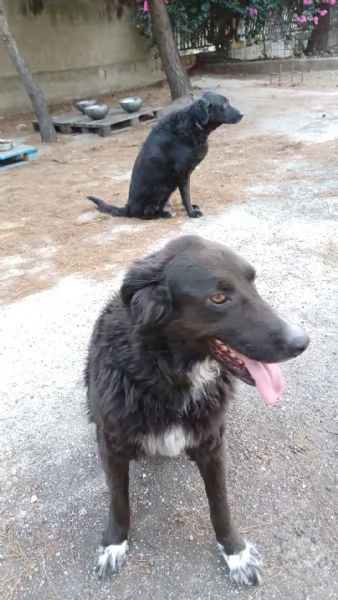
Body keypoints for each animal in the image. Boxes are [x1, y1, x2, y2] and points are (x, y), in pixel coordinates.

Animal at [84, 234, 308, 584]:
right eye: (218, 298)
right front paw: (113, 544)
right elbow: (118, 500)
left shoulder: (211, 443)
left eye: (253, 283)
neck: (164, 374)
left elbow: (220, 503)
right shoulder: (112, 443)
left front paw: (235, 553)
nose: (302, 342)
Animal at [88, 91, 243, 218]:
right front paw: (191, 213)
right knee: (145, 215)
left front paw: (191, 208)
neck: (193, 124)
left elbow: (186, 195)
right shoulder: (182, 173)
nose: (242, 114)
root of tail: (128, 208)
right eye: (225, 104)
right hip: (161, 186)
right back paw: (165, 214)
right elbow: (186, 195)